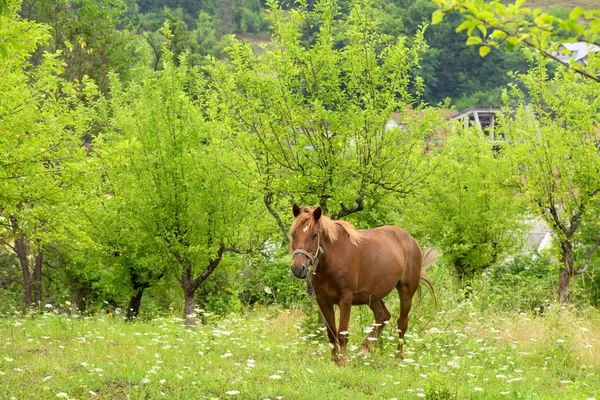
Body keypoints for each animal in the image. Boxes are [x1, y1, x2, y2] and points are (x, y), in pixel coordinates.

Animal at [290, 205, 436, 368]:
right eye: (293, 234)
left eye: (314, 235)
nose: (298, 268)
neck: (334, 257)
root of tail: (411, 240)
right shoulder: (323, 301)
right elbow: (331, 334)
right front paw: (334, 362)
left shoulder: (345, 300)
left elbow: (342, 333)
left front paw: (343, 362)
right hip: (373, 296)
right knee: (383, 316)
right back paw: (364, 351)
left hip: (406, 293)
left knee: (402, 323)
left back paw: (398, 358)